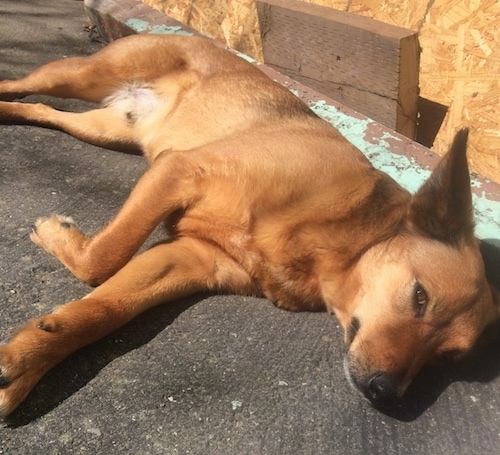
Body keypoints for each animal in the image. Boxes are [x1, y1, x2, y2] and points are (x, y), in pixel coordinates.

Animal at [0, 33, 500, 416]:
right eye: (420, 297)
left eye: (445, 358)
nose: (386, 393)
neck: (341, 238)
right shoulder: (179, 170)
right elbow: (103, 260)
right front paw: (58, 240)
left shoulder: (191, 260)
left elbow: (104, 308)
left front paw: (27, 359)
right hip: (79, 76)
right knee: (19, 83)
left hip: (107, 128)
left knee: (46, 113)